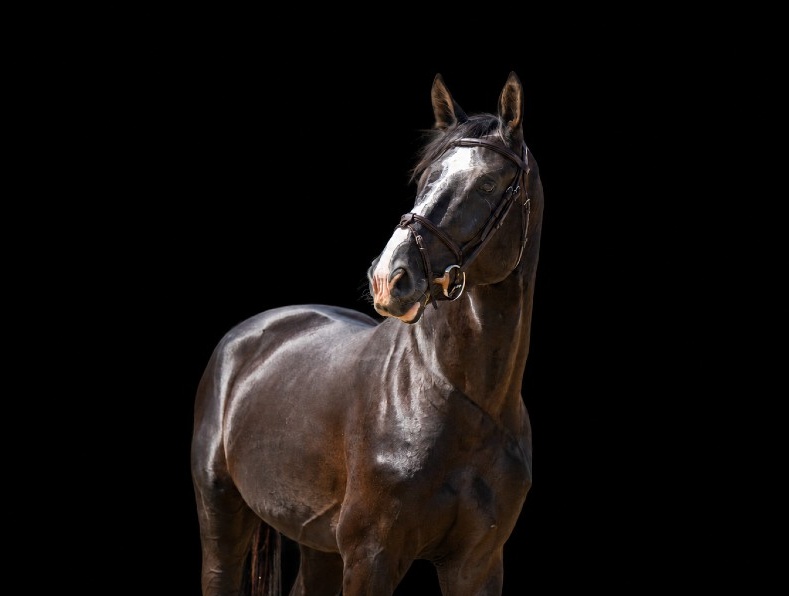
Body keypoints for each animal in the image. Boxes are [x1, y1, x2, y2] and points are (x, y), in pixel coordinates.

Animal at [191, 70, 544, 595]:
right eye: (424, 178)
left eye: (486, 184)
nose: (388, 277)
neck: (463, 400)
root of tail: (249, 335)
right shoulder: (370, 557)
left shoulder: (477, 565)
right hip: (221, 515)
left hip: (317, 545)